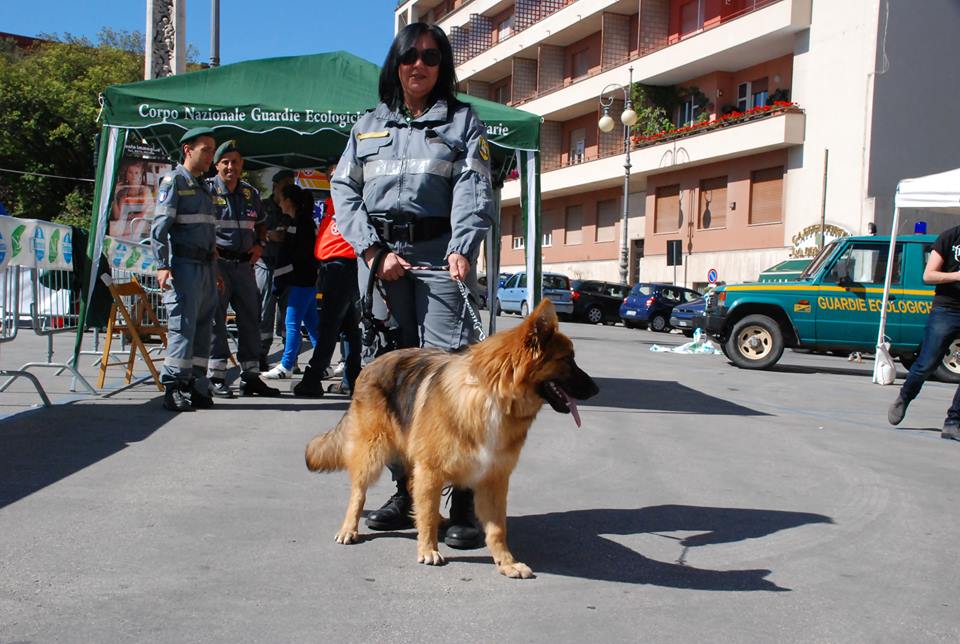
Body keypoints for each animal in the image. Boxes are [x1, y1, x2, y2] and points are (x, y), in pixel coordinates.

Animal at [305, 299, 598, 578]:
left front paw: (506, 562)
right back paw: (350, 528)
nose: (596, 389)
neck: (492, 395)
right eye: (568, 359)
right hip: (373, 451)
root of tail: (372, 363)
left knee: (413, 487)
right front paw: (428, 549)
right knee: (361, 492)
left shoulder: (494, 478)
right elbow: (425, 512)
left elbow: (497, 529)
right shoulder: (431, 469)